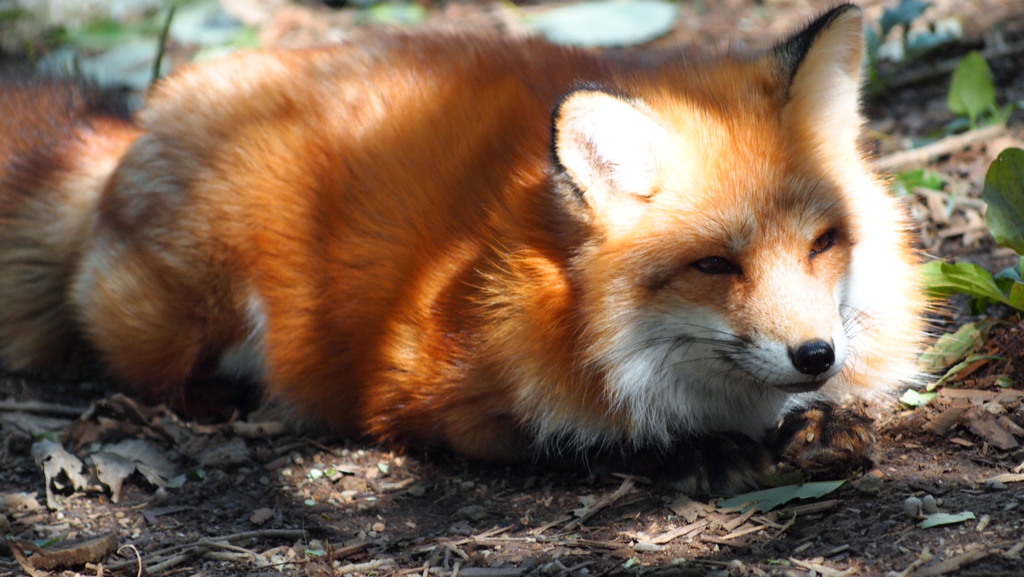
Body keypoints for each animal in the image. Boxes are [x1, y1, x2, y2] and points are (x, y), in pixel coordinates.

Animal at [0, 3, 929, 491]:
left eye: (824, 243)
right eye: (716, 265)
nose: (816, 354)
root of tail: (138, 125)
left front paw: (823, 418)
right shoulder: (429, 397)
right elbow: (584, 441)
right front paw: (701, 450)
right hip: (205, 306)